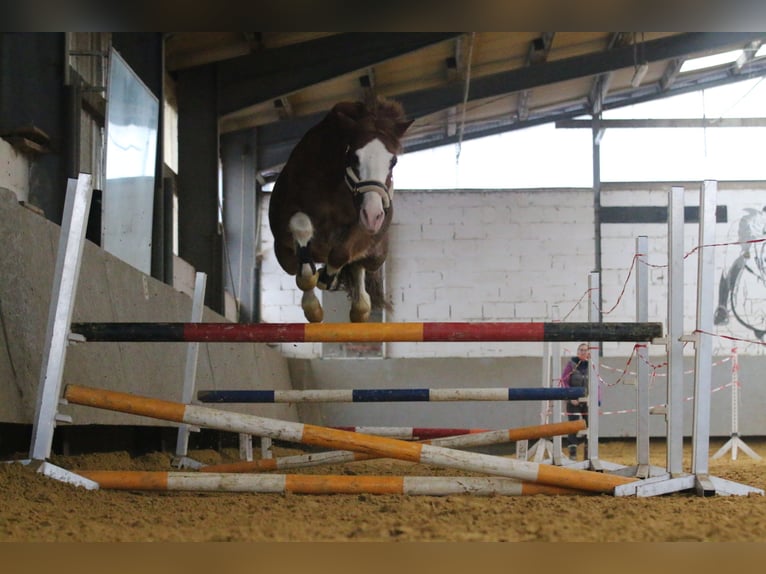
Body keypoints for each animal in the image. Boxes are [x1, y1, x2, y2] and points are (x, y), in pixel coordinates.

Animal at [270, 97, 414, 326]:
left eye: (393, 161)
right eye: (354, 157)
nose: (374, 215)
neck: (335, 183)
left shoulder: (363, 224)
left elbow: (341, 253)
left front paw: (326, 279)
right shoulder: (287, 221)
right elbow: (301, 229)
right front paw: (313, 307)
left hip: (377, 256)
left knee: (358, 269)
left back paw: (358, 305)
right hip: (284, 255)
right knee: (298, 268)